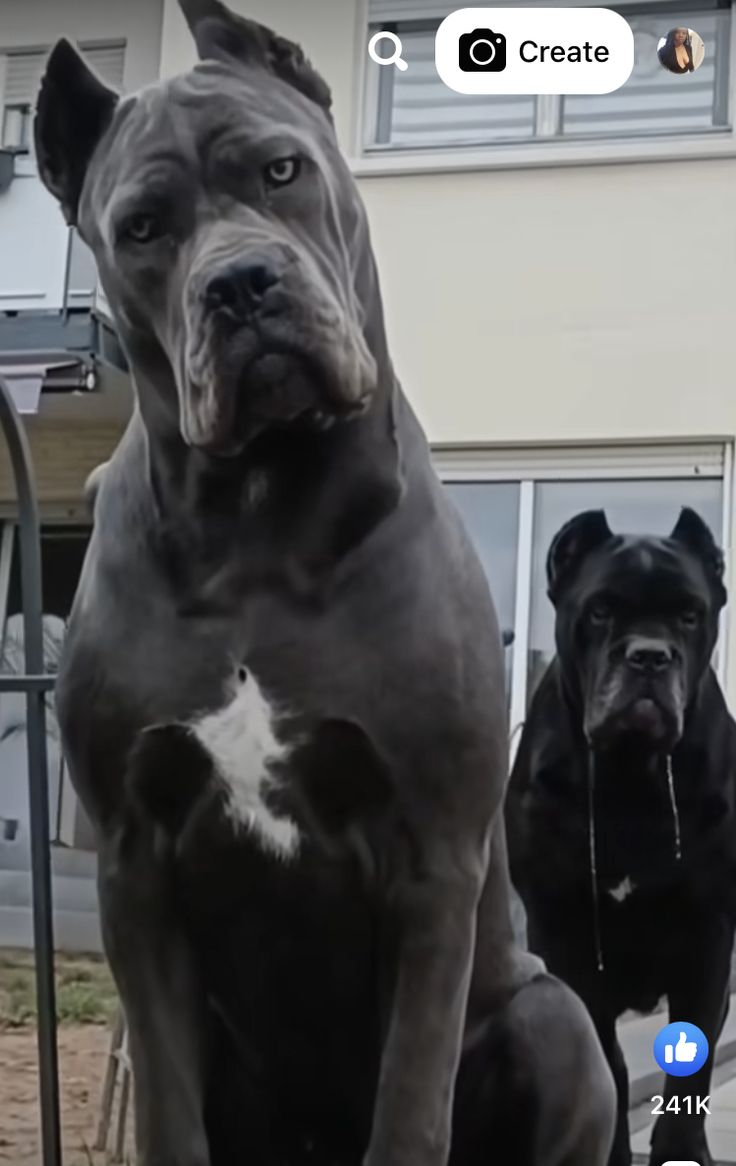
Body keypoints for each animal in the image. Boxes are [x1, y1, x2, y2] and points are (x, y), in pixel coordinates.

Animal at [34, 2, 611, 1166]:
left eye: (281, 169)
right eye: (143, 229)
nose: (240, 283)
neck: (260, 516)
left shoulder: (432, 860)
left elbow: (410, 1108)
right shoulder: (135, 869)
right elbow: (167, 1112)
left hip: (553, 1015)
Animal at [508, 510, 736, 1166]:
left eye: (690, 614)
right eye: (601, 610)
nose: (650, 657)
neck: (630, 775)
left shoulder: (708, 939)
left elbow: (694, 1064)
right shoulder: (568, 938)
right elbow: (607, 1064)